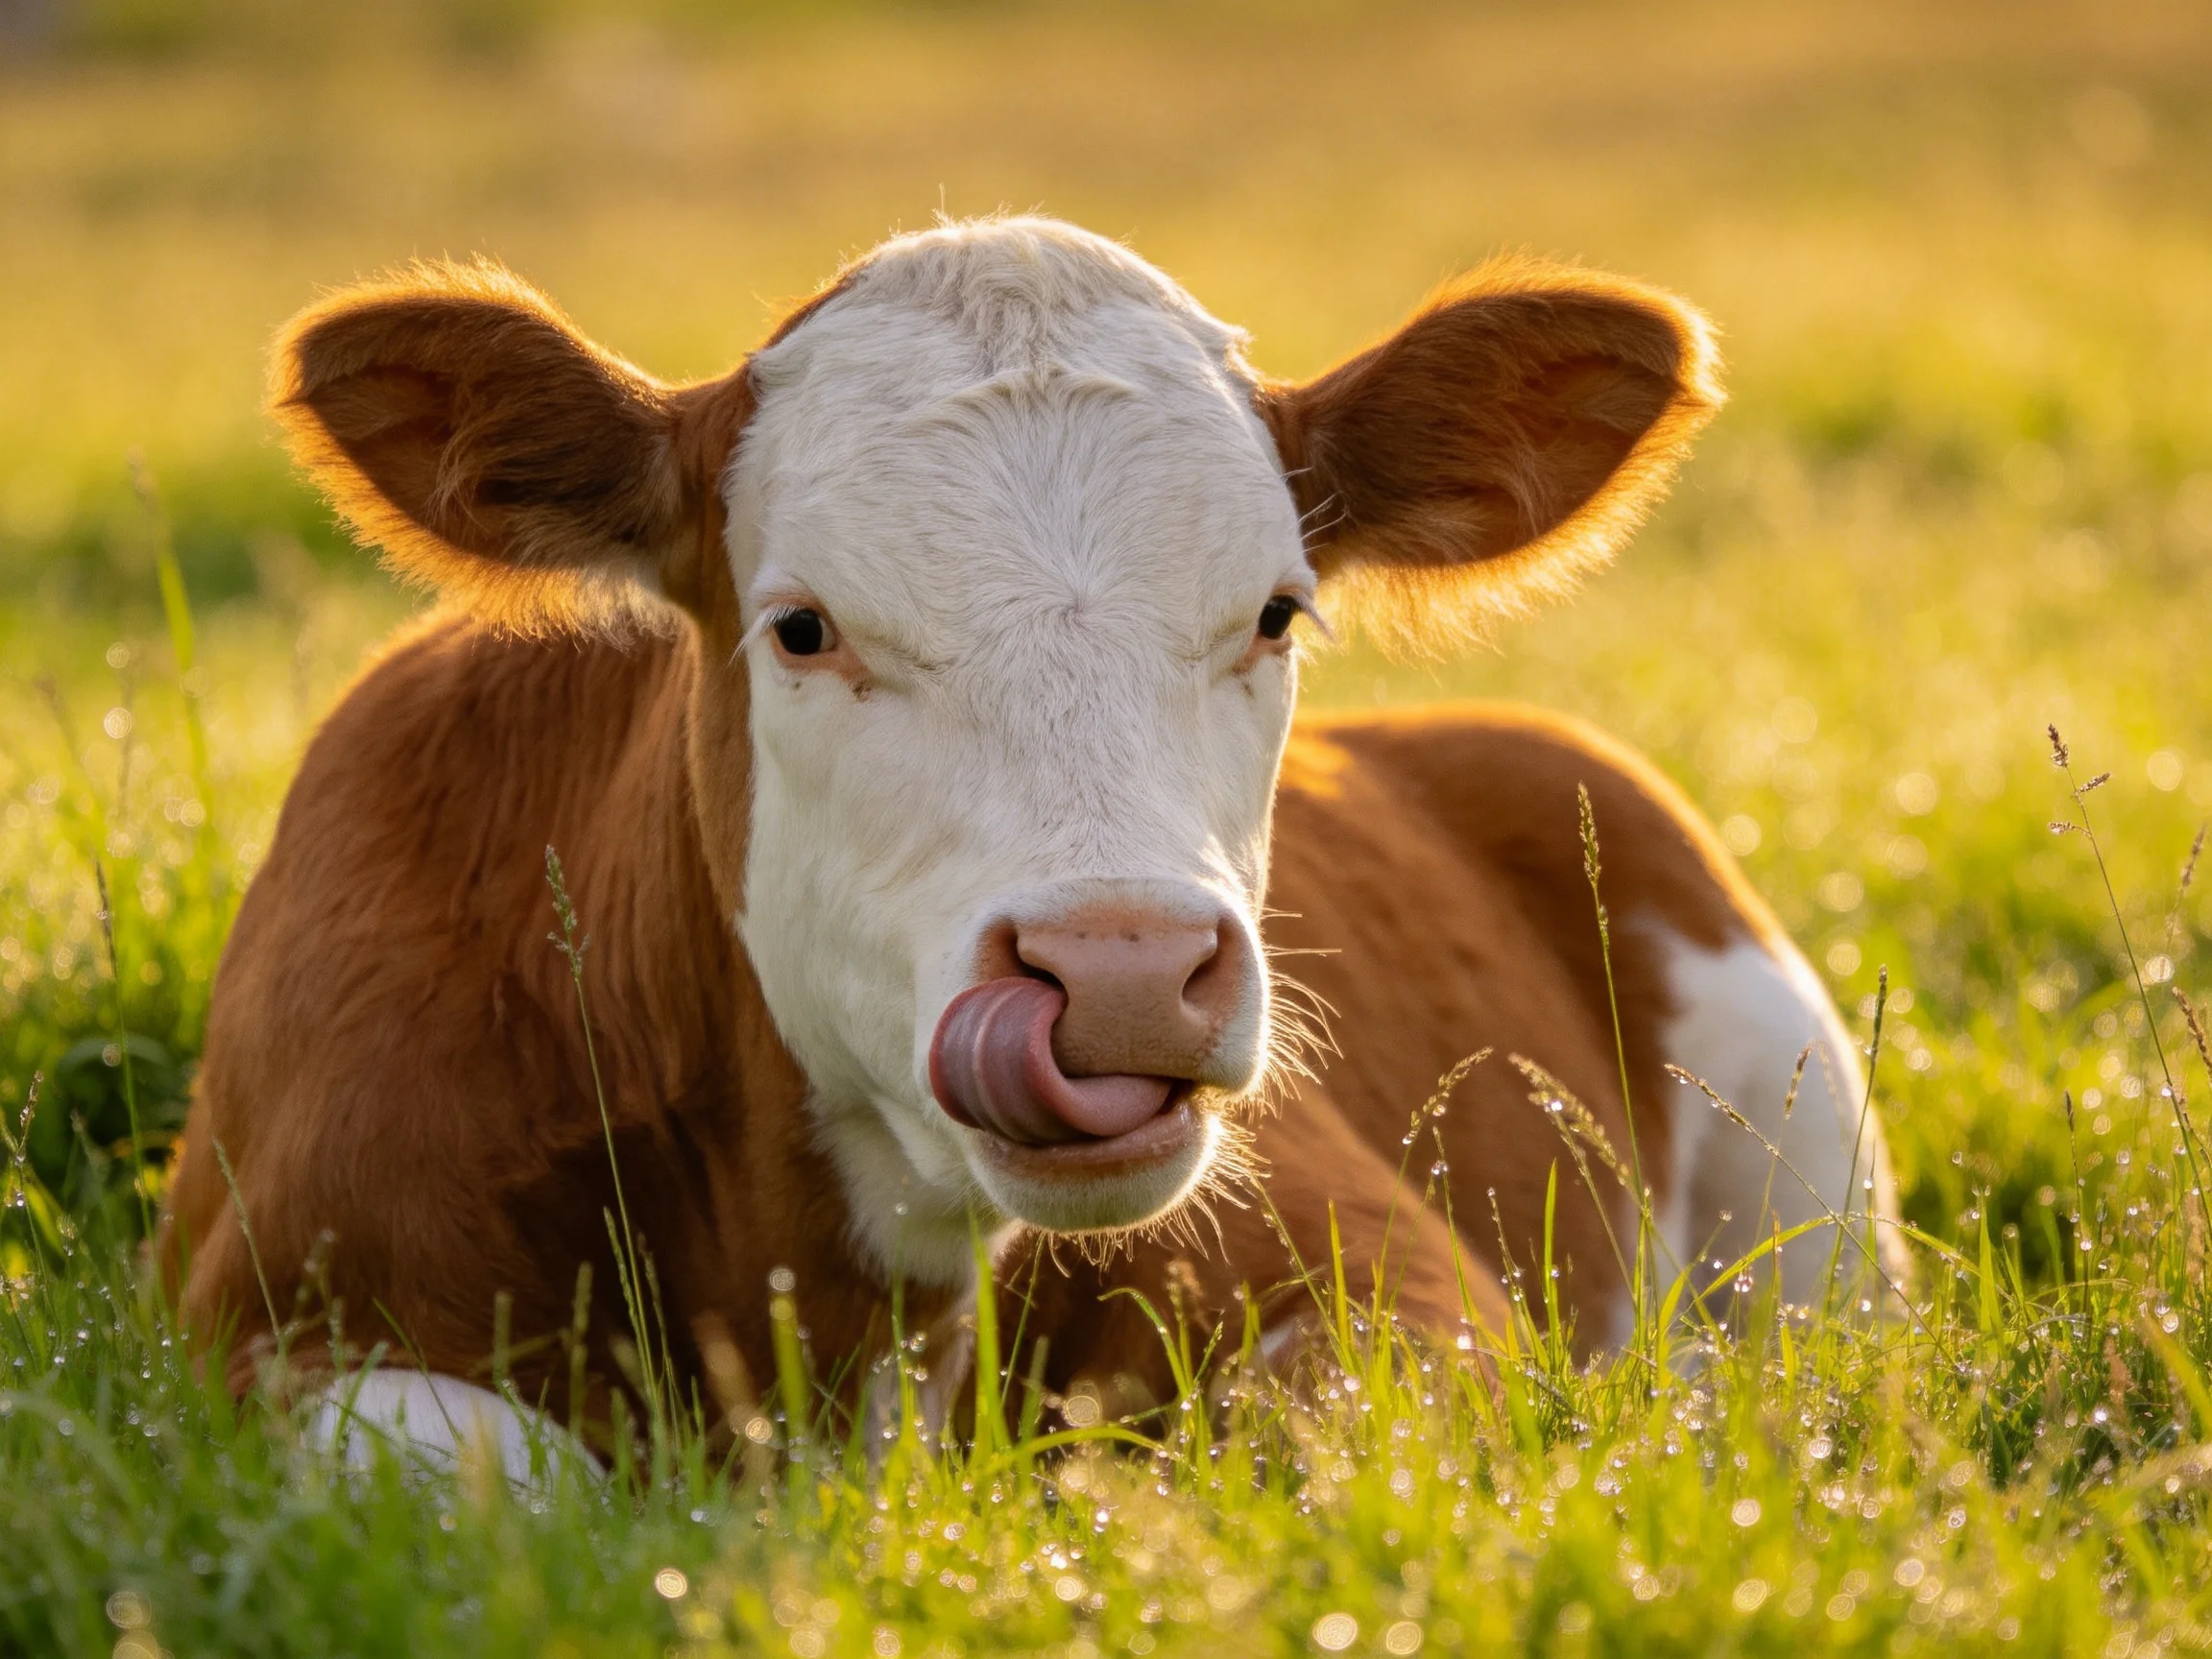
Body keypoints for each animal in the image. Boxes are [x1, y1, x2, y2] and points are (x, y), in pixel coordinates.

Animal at [157, 216, 1900, 1469]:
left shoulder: (1401, 1285)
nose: (1122, 971)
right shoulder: (252, 1329)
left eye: (1277, 611)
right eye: (801, 628)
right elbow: (486, 1471)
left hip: (1812, 1213)